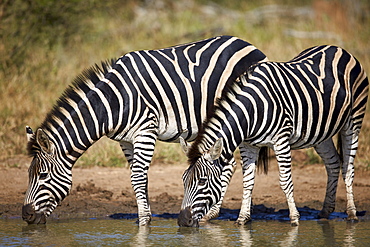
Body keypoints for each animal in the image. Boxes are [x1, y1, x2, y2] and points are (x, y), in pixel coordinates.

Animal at [21, 35, 268, 226]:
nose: (26, 216)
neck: (114, 102)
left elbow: (138, 177)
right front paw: (146, 217)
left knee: (241, 165)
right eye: (28, 175)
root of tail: (250, 45)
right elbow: (139, 177)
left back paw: (235, 217)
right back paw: (212, 213)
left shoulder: (145, 131)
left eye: (42, 176)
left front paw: (142, 224)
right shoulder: (125, 140)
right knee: (229, 164)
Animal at [178, 45, 368, 227]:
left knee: (348, 168)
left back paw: (352, 214)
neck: (252, 110)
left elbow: (285, 181)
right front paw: (242, 220)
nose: (182, 221)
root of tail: (340, 49)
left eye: (202, 181)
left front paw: (294, 219)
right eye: (184, 180)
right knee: (333, 163)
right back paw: (325, 211)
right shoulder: (248, 145)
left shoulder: (281, 140)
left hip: (353, 121)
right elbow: (248, 181)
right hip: (321, 131)